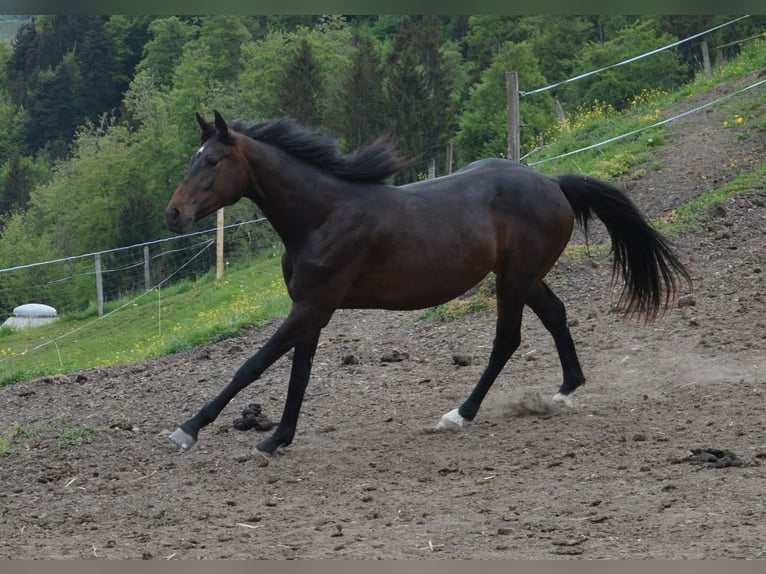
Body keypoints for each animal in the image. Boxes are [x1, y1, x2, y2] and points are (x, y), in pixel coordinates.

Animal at [165, 110, 691, 456]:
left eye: (211, 161)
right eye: (193, 157)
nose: (174, 214)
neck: (323, 215)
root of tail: (553, 183)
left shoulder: (314, 305)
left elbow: (252, 365)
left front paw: (188, 428)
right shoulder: (310, 309)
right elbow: (299, 373)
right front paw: (276, 438)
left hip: (514, 280)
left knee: (507, 340)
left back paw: (460, 413)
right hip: (523, 277)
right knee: (556, 316)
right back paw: (563, 391)